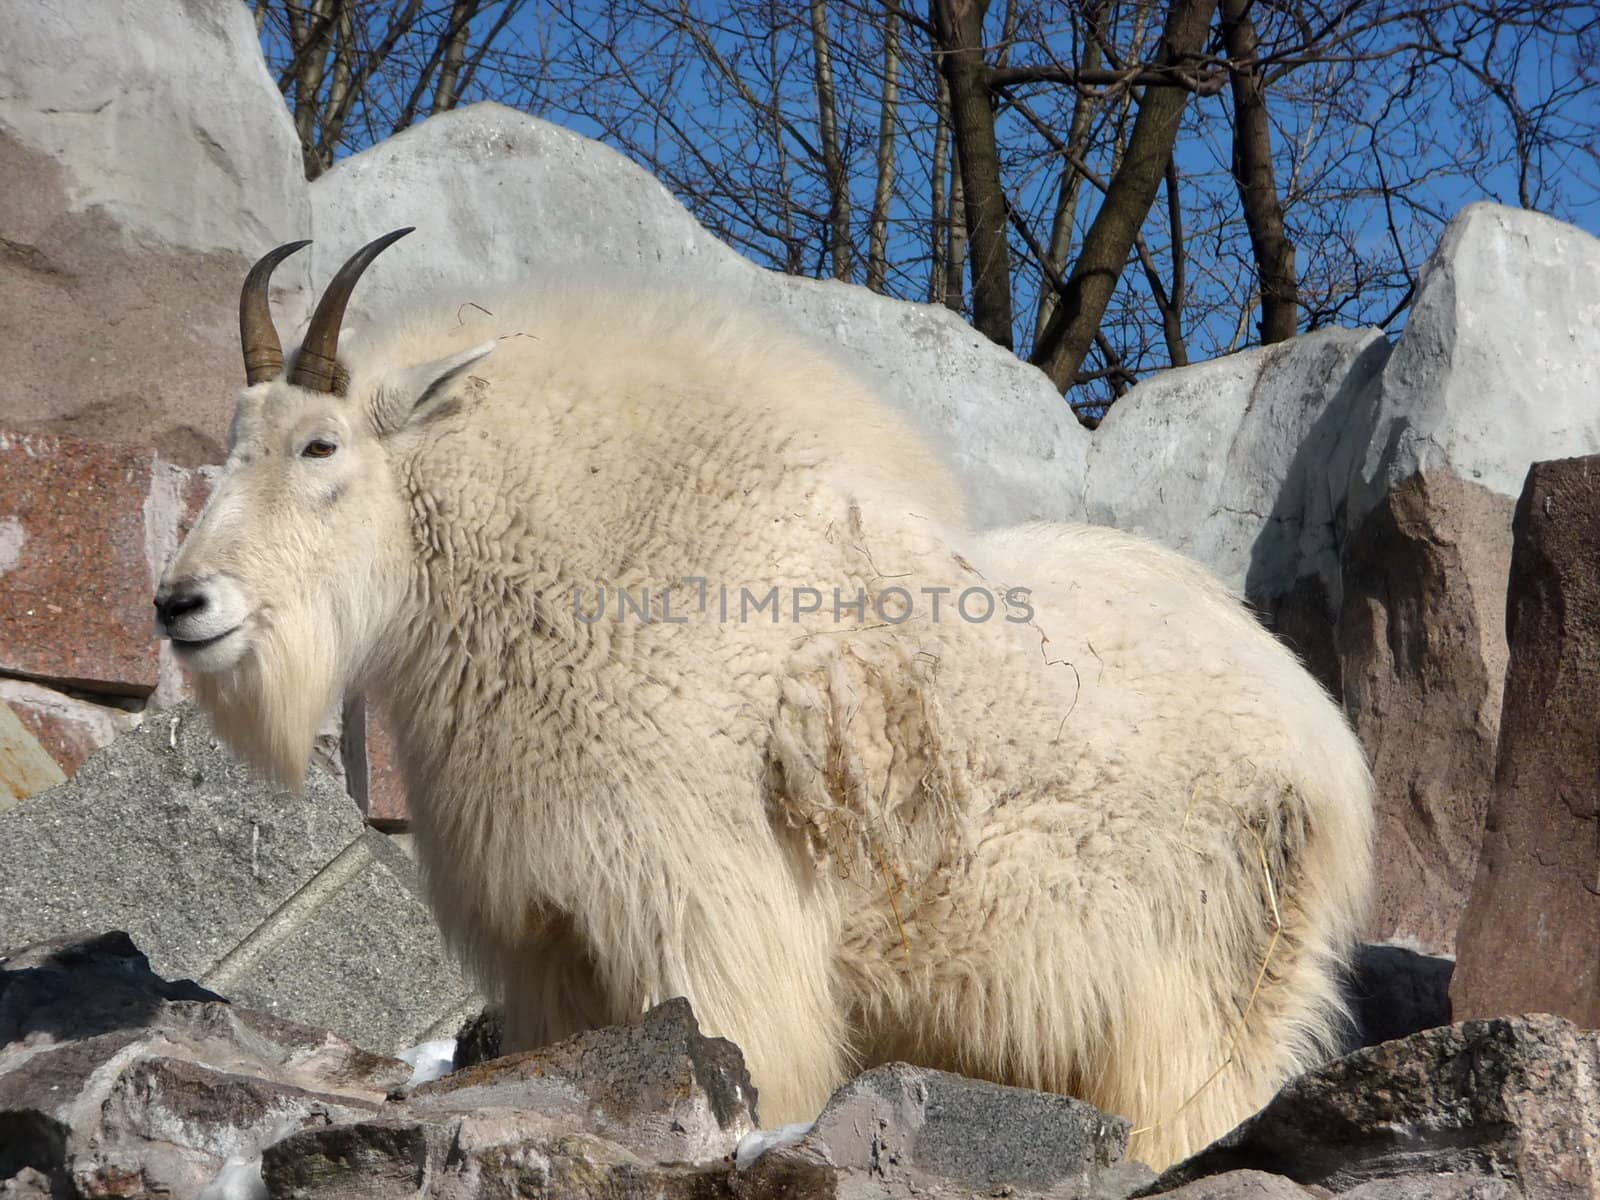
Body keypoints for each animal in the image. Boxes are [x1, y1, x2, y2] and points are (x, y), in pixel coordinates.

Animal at [162, 230, 1376, 1171]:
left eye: (320, 445)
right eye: (233, 442)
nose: (183, 602)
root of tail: (1326, 750)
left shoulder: (704, 916)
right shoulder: (556, 942)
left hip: (1197, 986)